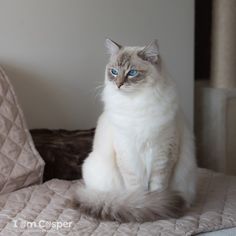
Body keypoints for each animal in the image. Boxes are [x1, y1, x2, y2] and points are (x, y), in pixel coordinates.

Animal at [75, 39, 197, 223]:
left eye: (132, 73)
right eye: (114, 72)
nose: (118, 84)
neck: (136, 103)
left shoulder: (163, 153)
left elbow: (157, 187)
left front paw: (155, 205)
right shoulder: (128, 153)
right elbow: (137, 191)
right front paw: (144, 206)